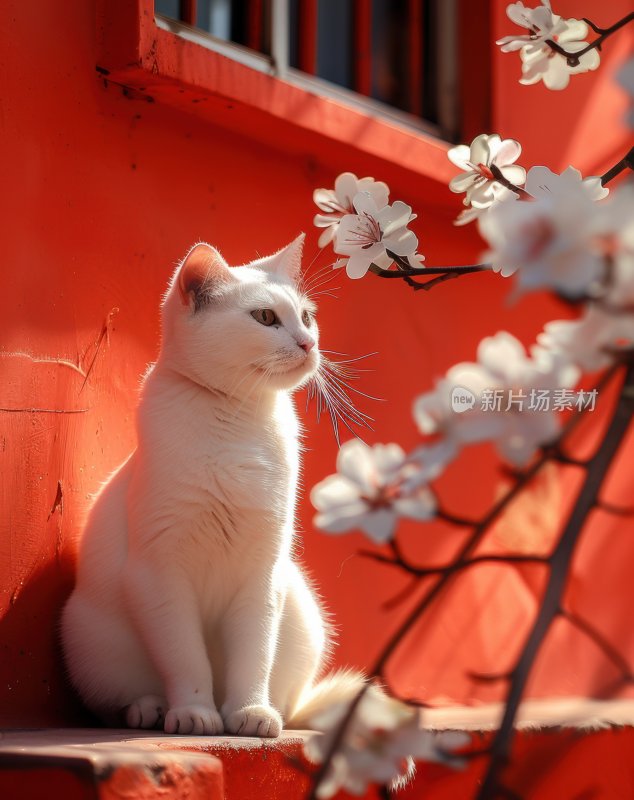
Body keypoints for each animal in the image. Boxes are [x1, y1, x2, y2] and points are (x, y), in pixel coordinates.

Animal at [62, 236, 366, 736]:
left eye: (306, 316)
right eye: (265, 317)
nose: (308, 343)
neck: (236, 420)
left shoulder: (263, 573)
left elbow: (254, 655)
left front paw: (249, 711)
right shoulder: (160, 574)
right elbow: (186, 659)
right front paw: (195, 712)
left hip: (301, 608)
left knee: (288, 699)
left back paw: (270, 710)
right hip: (89, 637)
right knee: (119, 700)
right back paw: (150, 709)